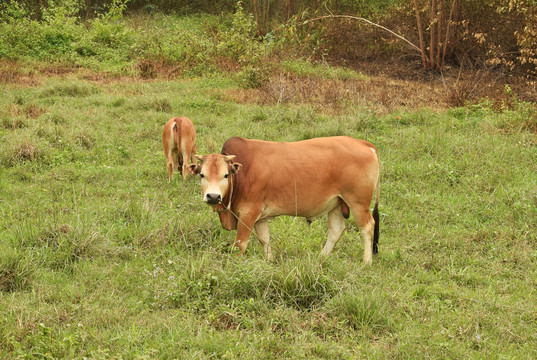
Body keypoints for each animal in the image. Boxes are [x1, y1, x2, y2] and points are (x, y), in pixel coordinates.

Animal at [188, 136, 382, 262]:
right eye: (202, 175)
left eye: (226, 175)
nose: (213, 196)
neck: (243, 173)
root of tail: (364, 144)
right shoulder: (260, 217)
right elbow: (265, 240)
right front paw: (269, 261)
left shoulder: (248, 214)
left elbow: (240, 245)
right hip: (337, 203)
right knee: (336, 230)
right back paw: (321, 258)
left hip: (358, 203)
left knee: (367, 227)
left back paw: (366, 261)